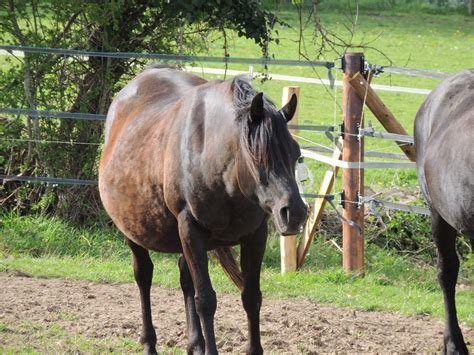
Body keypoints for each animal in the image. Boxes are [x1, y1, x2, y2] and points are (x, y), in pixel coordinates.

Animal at [100, 65, 308, 354]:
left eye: (296, 154)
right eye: (257, 156)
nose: (295, 213)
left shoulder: (254, 235)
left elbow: (251, 296)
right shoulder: (191, 228)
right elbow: (206, 300)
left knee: (185, 278)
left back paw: (195, 344)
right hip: (134, 232)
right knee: (144, 276)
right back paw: (150, 342)